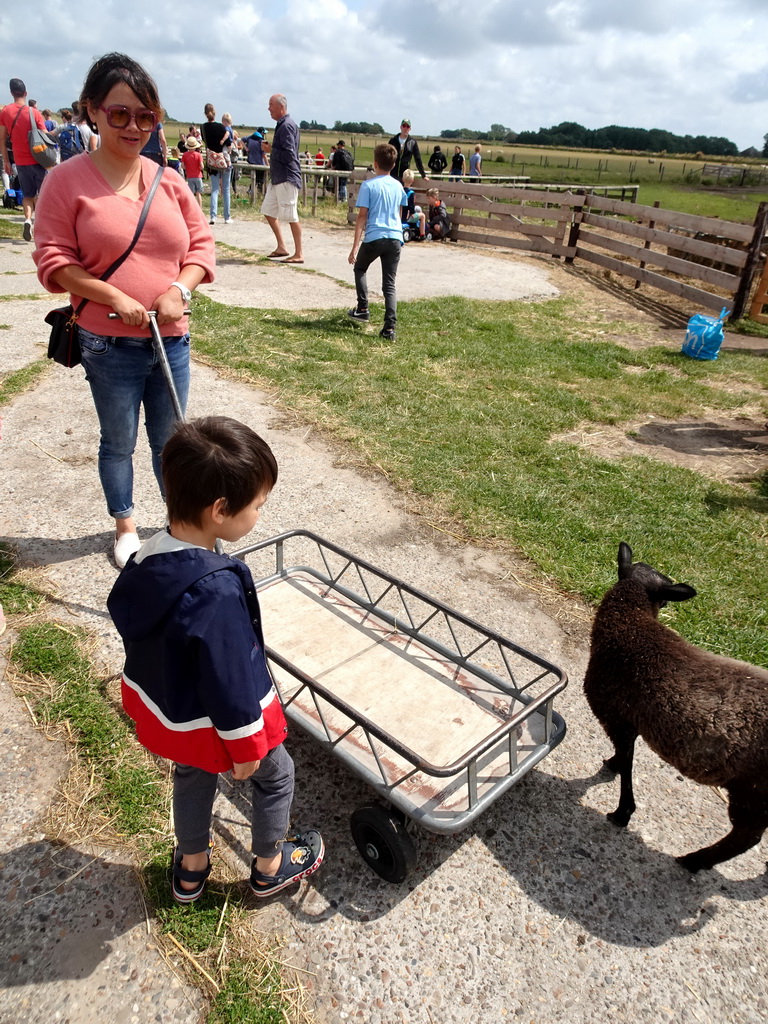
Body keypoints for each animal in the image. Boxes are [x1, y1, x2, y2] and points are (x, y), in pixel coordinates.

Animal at [581, 544, 768, 872]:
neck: (630, 627)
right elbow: (625, 757)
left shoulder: (616, 714)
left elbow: (626, 760)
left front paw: (622, 811)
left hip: (754, 792)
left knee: (745, 837)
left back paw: (694, 861)